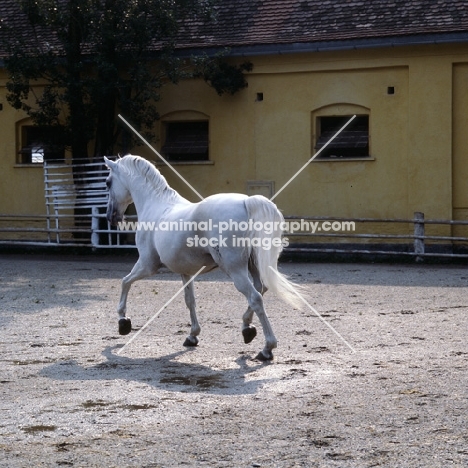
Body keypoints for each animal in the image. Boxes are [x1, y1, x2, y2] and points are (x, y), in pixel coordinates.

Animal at [104, 155, 298, 360]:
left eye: (108, 182)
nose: (111, 217)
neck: (156, 206)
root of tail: (247, 202)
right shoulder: (185, 272)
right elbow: (190, 301)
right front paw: (192, 336)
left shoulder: (147, 265)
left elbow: (125, 282)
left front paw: (123, 321)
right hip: (253, 265)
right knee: (261, 288)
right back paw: (247, 329)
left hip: (235, 269)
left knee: (255, 298)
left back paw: (267, 348)